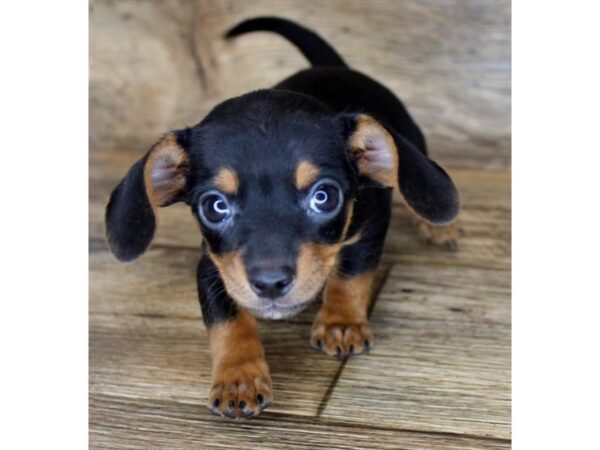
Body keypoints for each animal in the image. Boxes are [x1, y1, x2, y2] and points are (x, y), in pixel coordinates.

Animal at [104, 17, 460, 418]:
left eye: (324, 196)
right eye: (214, 206)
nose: (271, 283)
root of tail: (334, 66)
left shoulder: (369, 231)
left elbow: (351, 274)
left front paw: (341, 322)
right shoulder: (212, 264)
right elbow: (226, 318)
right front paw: (238, 378)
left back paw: (440, 226)